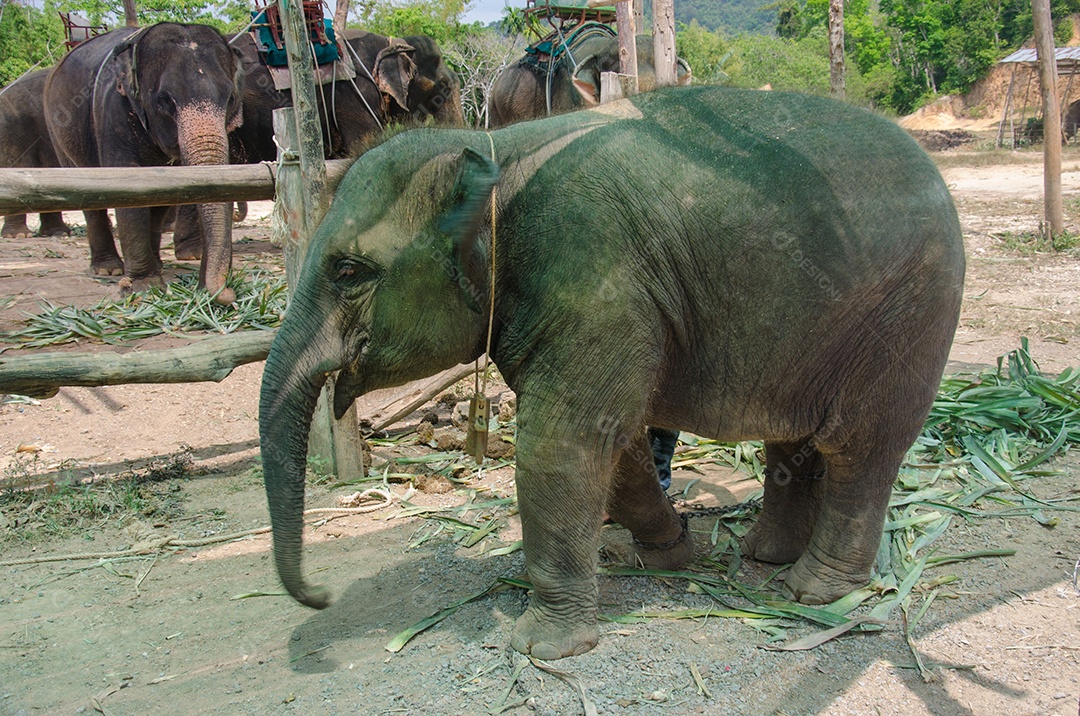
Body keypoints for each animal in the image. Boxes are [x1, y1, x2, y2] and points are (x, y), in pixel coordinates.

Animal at [44, 23, 244, 305]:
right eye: (164, 100)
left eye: (230, 99)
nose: (227, 291)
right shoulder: (113, 111)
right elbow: (125, 187)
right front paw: (145, 287)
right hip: (58, 133)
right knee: (87, 198)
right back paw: (108, 269)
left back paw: (155, 264)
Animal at [258, 86, 965, 659]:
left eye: (348, 271)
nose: (320, 596)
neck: (496, 153)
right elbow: (616, 447)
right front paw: (672, 552)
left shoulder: (594, 279)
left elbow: (563, 444)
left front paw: (543, 648)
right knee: (793, 441)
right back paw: (764, 557)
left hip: (911, 312)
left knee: (862, 448)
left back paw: (812, 591)